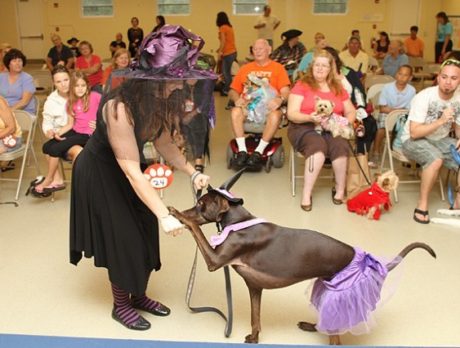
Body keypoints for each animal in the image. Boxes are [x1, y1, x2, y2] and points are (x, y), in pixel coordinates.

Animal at [168, 170, 434, 344]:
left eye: (200, 204)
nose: (187, 208)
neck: (238, 223)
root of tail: (363, 257)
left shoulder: (214, 260)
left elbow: (196, 228)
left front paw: (178, 214)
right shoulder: (255, 287)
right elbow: (256, 318)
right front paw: (254, 337)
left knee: (335, 335)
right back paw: (311, 325)